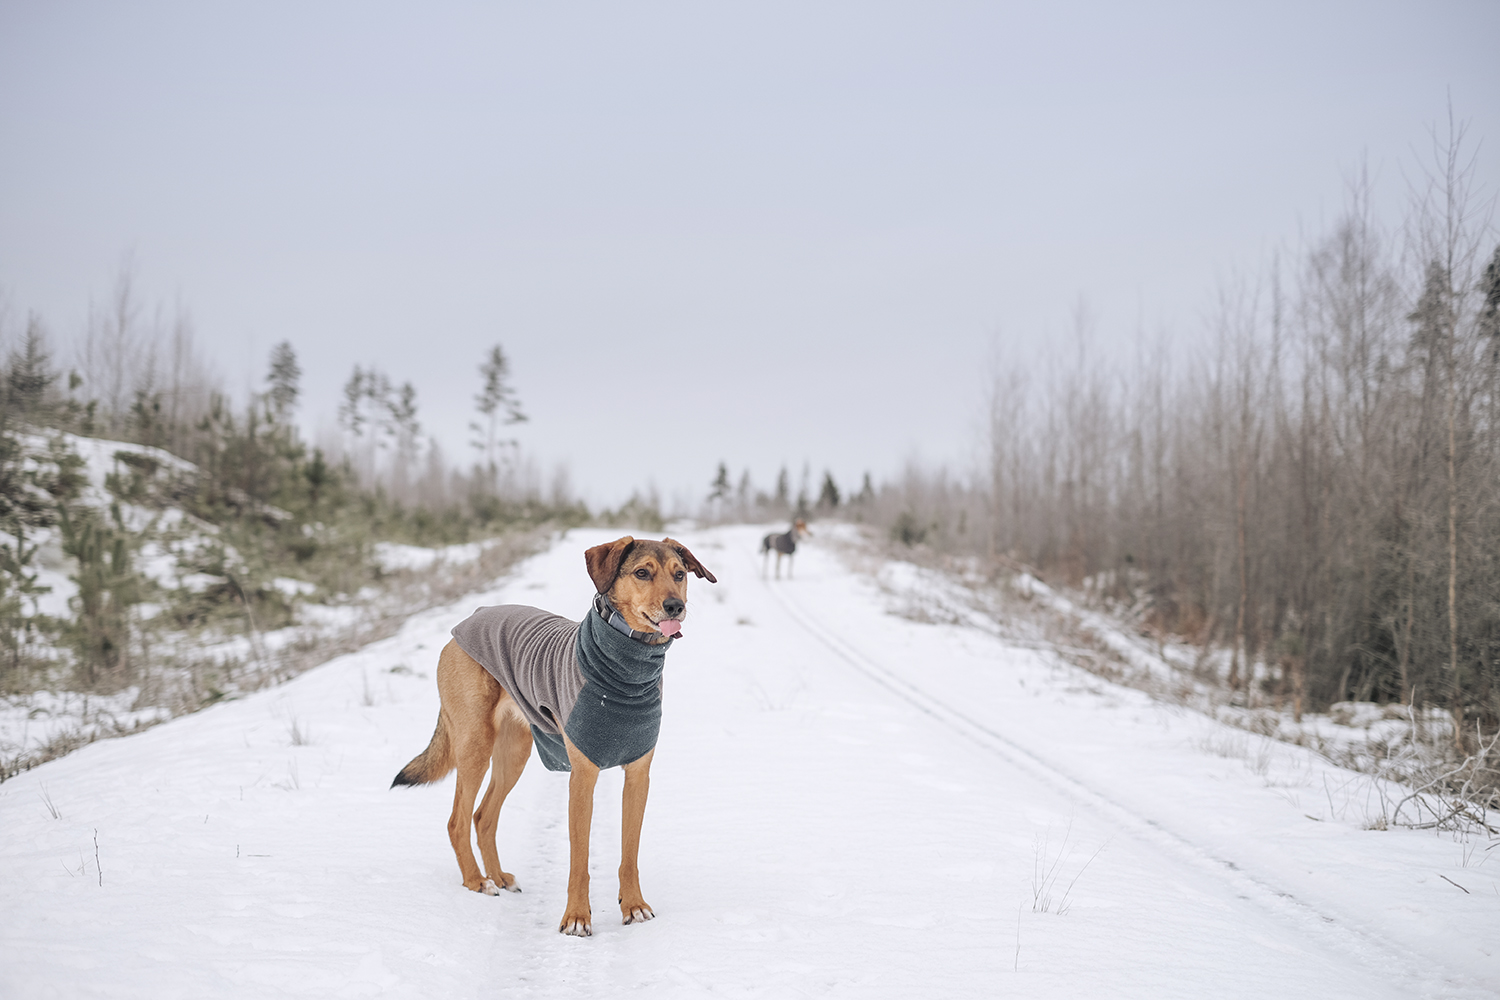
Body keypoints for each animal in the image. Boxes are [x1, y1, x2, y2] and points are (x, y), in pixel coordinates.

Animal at [387, 539, 714, 941]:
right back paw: (477, 882)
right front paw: (576, 918)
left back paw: (498, 876)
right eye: (642, 573)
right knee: (458, 820)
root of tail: (467, 622)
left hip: (515, 752)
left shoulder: (638, 776)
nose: (674, 607)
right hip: (475, 744)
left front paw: (634, 907)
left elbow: (629, 853)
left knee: (483, 816)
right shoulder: (583, 778)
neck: (627, 670)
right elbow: (579, 860)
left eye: (679, 575)